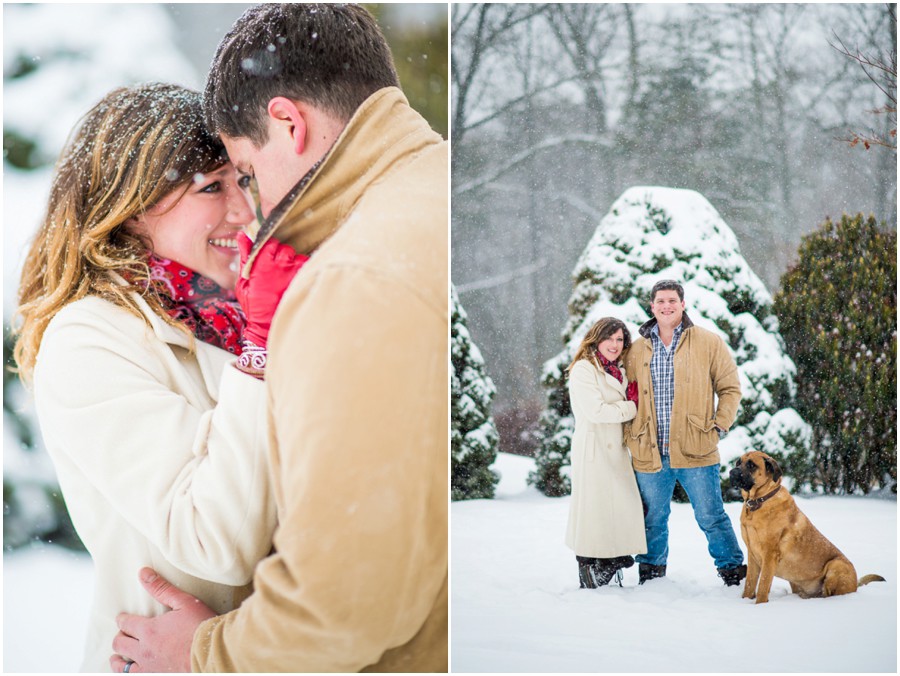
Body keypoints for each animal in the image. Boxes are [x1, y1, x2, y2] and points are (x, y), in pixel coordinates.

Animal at [728, 452, 884, 604]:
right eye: (738, 462)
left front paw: (759, 605)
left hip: (836, 565)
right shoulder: (752, 554)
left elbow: (763, 586)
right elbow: (750, 584)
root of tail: (855, 585)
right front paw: (745, 600)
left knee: (829, 595)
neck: (759, 501)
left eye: (751, 465)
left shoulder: (769, 554)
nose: (731, 472)